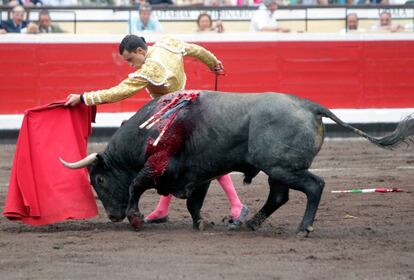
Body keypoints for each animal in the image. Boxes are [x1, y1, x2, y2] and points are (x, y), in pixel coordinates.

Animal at [59, 92, 412, 236]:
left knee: (315, 185)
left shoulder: (158, 165)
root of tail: (310, 106)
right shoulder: (197, 173)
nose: (113, 216)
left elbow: (135, 184)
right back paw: (249, 223)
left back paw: (302, 228)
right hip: (277, 171)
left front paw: (135, 218)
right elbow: (194, 202)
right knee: (278, 196)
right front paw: (200, 223)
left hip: (282, 167)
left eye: (99, 180)